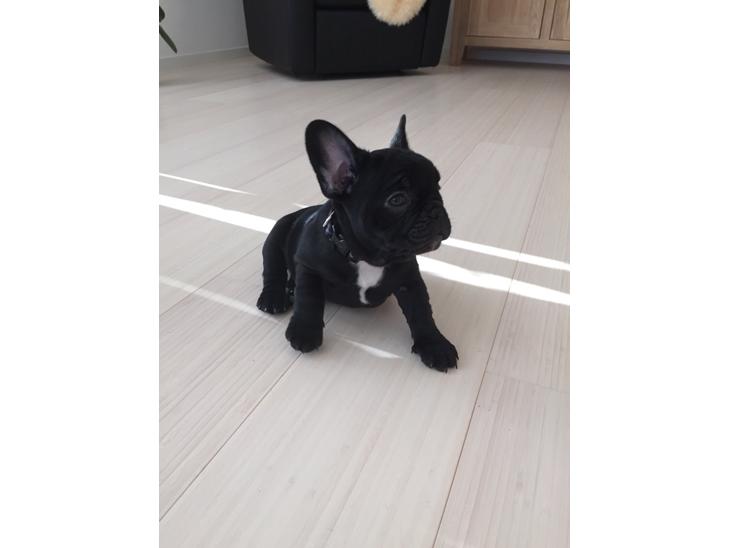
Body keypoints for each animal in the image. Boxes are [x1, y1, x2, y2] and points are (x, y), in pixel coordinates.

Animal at [256, 115, 458, 371]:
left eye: (438, 188)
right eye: (398, 200)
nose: (436, 210)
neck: (365, 257)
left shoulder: (409, 279)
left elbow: (421, 310)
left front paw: (434, 344)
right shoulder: (308, 266)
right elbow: (308, 298)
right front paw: (305, 331)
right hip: (274, 240)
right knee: (274, 271)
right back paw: (274, 297)